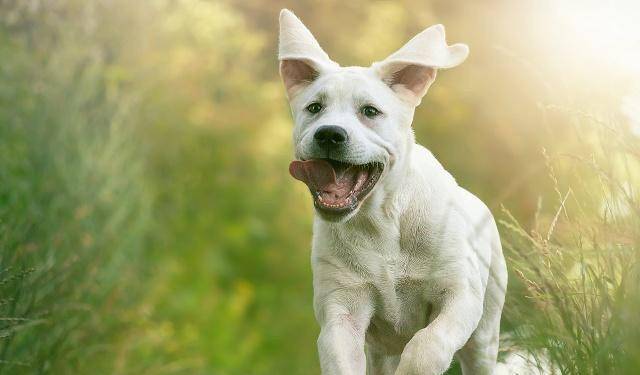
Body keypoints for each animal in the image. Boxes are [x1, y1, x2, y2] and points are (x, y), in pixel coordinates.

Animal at [278, 9, 508, 375]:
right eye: (314, 108)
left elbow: (428, 344)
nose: (329, 134)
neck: (382, 222)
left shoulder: (460, 295)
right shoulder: (342, 309)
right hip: (381, 349)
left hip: (485, 333)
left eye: (370, 111)